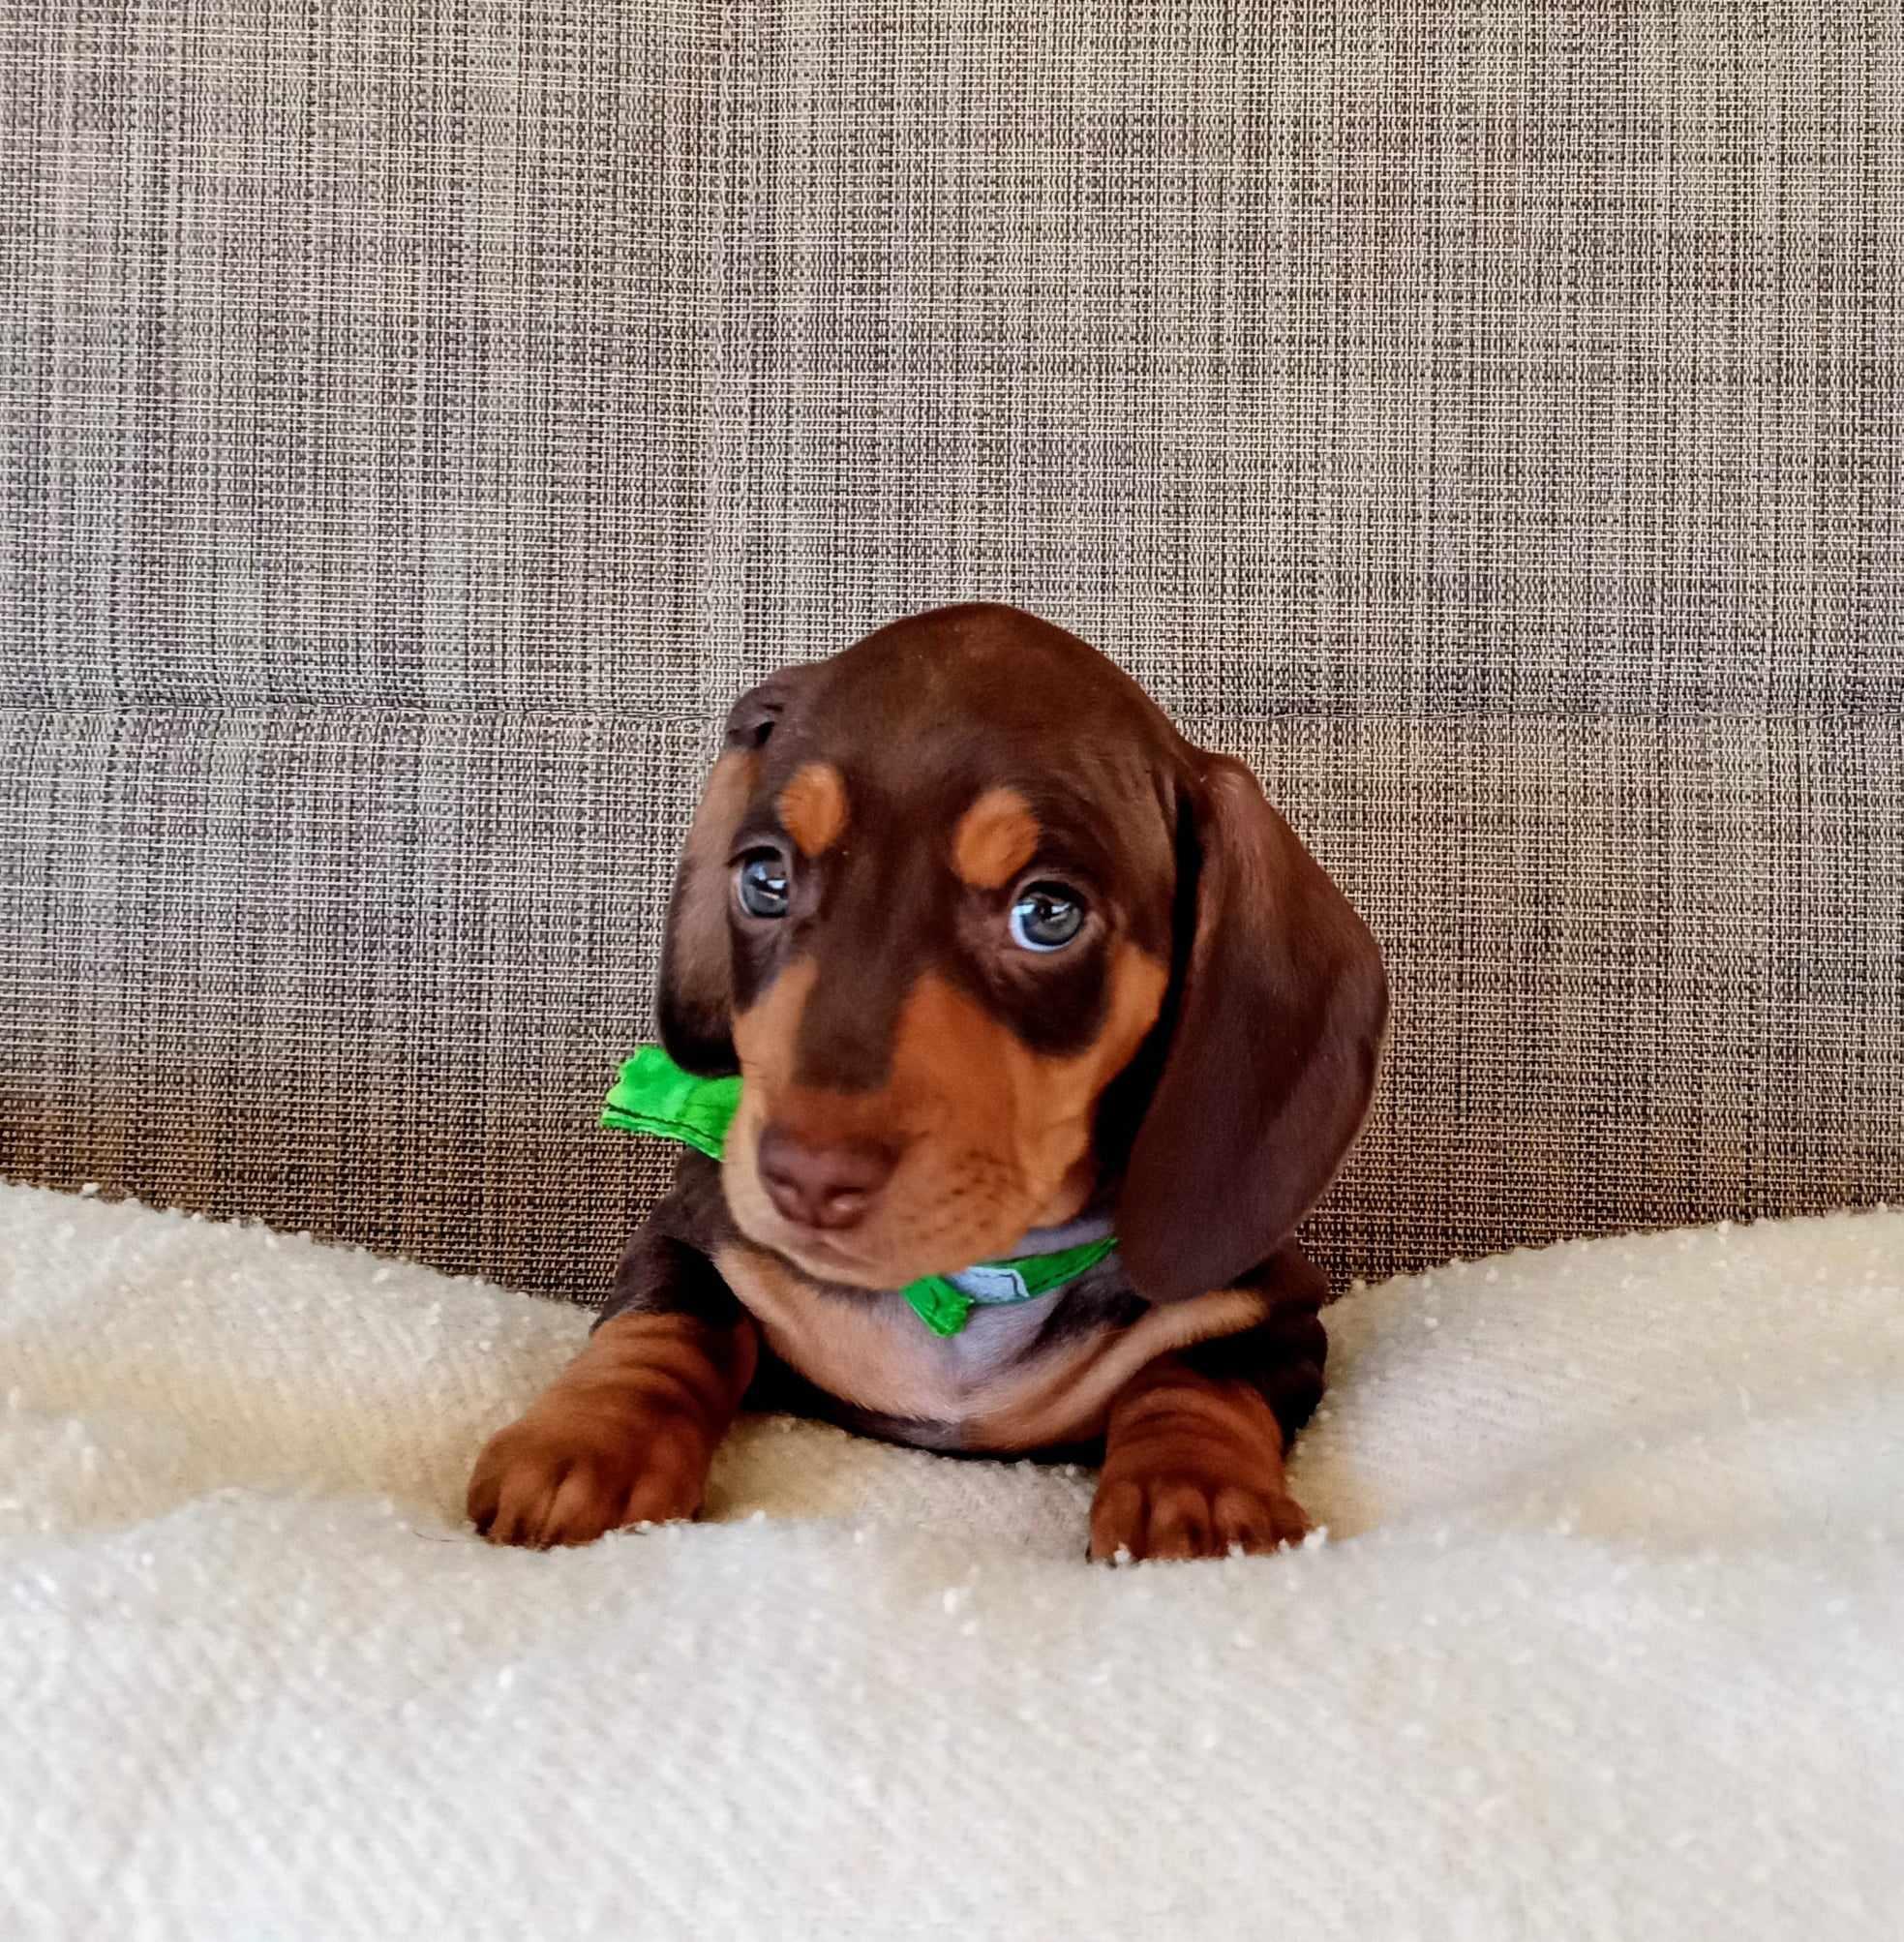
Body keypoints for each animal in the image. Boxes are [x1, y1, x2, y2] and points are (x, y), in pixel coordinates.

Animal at [468, 604, 1388, 1561]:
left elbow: (1198, 1371)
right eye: (764, 878)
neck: (966, 1281)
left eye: (1047, 913)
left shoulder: (1278, 1310)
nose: (805, 1179)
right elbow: (667, 1318)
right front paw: (584, 1442)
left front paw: (1196, 1492)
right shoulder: (696, 1230)